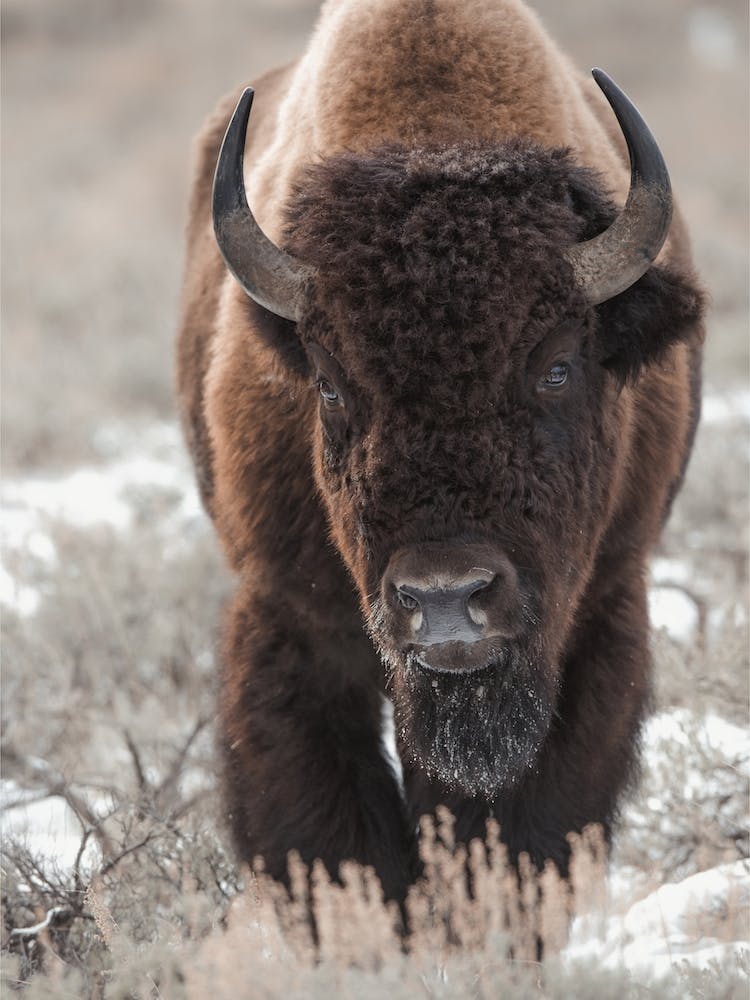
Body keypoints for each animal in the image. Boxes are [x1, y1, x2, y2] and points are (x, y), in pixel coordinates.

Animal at [176, 0, 704, 903]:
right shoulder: (290, 619)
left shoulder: (598, 610)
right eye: (329, 384)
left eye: (557, 366)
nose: (447, 598)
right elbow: (332, 831)